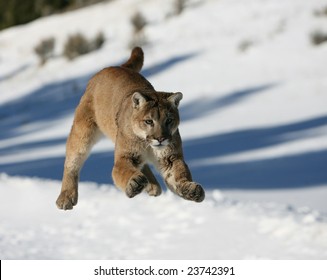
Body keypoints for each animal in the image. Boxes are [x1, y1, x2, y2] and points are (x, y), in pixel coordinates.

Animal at [56, 47, 205, 209]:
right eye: (149, 121)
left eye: (169, 120)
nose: (160, 138)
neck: (148, 145)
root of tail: (115, 67)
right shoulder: (125, 156)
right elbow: (123, 171)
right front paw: (134, 183)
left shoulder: (170, 158)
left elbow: (179, 173)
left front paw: (190, 189)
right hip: (82, 131)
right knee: (72, 161)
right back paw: (66, 197)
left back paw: (152, 185)